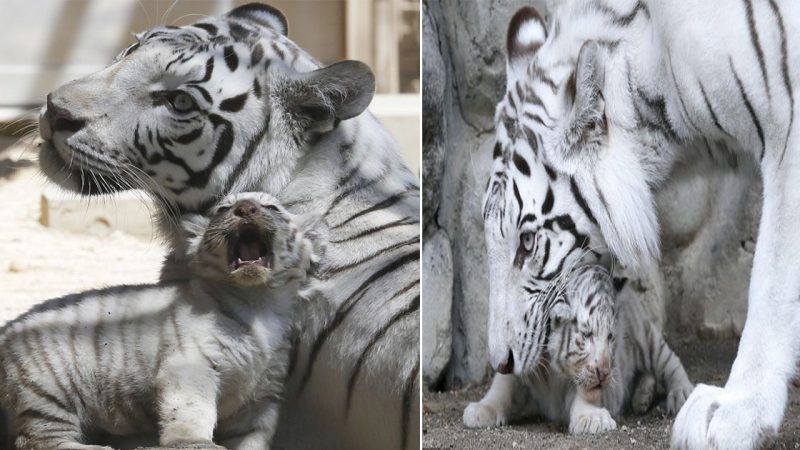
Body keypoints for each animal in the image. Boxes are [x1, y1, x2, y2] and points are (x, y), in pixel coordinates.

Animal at [0, 192, 318, 448]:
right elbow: (192, 410)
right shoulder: (190, 365)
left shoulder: (263, 393)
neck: (257, 301)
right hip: (46, 388)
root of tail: (6, 330)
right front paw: (192, 442)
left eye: (272, 207)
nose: (246, 208)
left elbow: (253, 435)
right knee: (37, 439)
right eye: (224, 208)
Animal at [466, 264, 692, 432]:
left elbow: (582, 392)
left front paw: (592, 419)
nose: (604, 372)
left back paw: (681, 394)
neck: (550, 369)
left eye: (610, 337)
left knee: (669, 361)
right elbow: (502, 387)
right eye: (586, 335)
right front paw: (481, 410)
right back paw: (642, 398)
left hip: (645, 337)